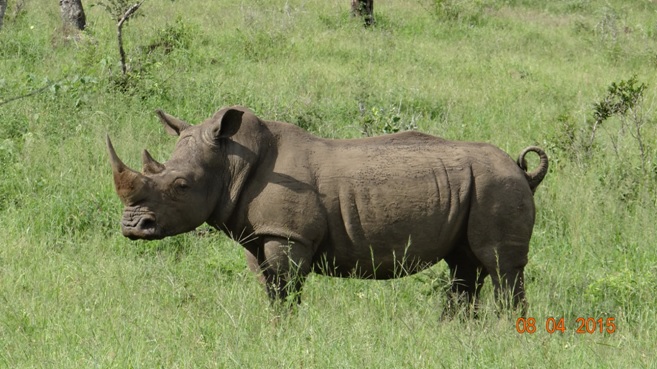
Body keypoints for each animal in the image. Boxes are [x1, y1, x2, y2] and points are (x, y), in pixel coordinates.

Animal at [107, 105, 548, 314]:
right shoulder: (260, 233)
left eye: (180, 186)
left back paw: (506, 331)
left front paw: (285, 333)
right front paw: (274, 331)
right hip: (477, 187)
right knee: (464, 265)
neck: (232, 161)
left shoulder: (288, 235)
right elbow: (270, 289)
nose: (132, 227)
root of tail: (521, 170)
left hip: (497, 185)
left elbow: (286, 290)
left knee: (500, 265)